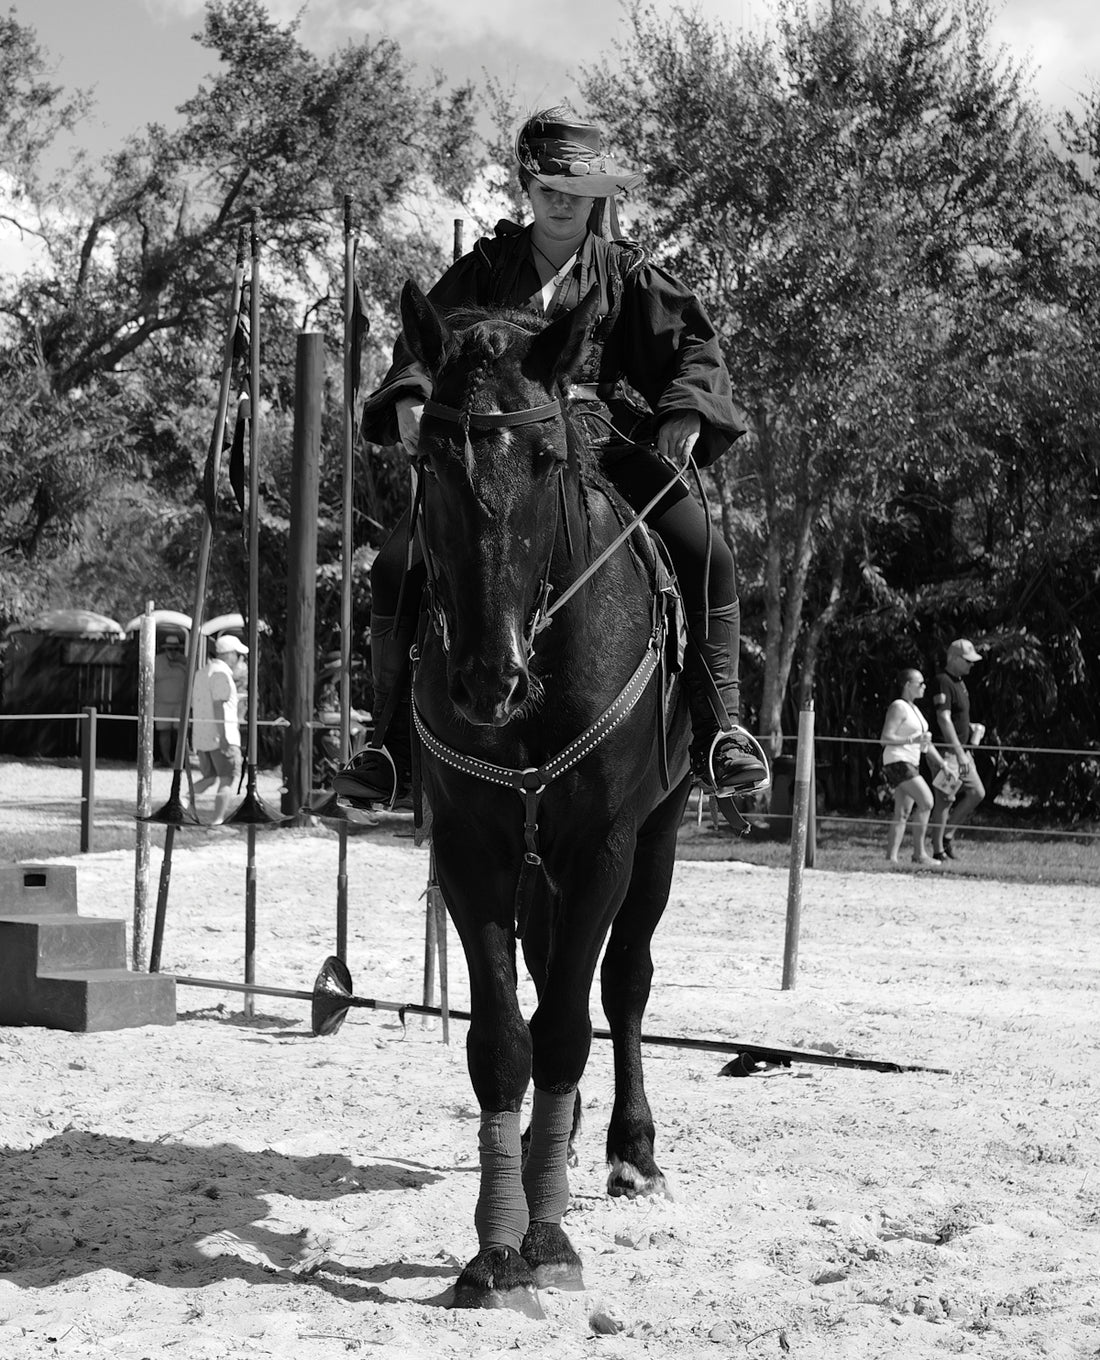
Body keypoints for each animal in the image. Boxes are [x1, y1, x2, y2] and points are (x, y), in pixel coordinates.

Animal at [399, 279, 694, 1317]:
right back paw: (541, 1149)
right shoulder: (473, 852)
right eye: (430, 458)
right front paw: (497, 1247)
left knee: (624, 982)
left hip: (656, 841)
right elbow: (502, 1041)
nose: (491, 678)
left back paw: (628, 1149)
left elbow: (569, 1024)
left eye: (547, 458)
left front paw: (551, 1237)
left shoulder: (605, 845)